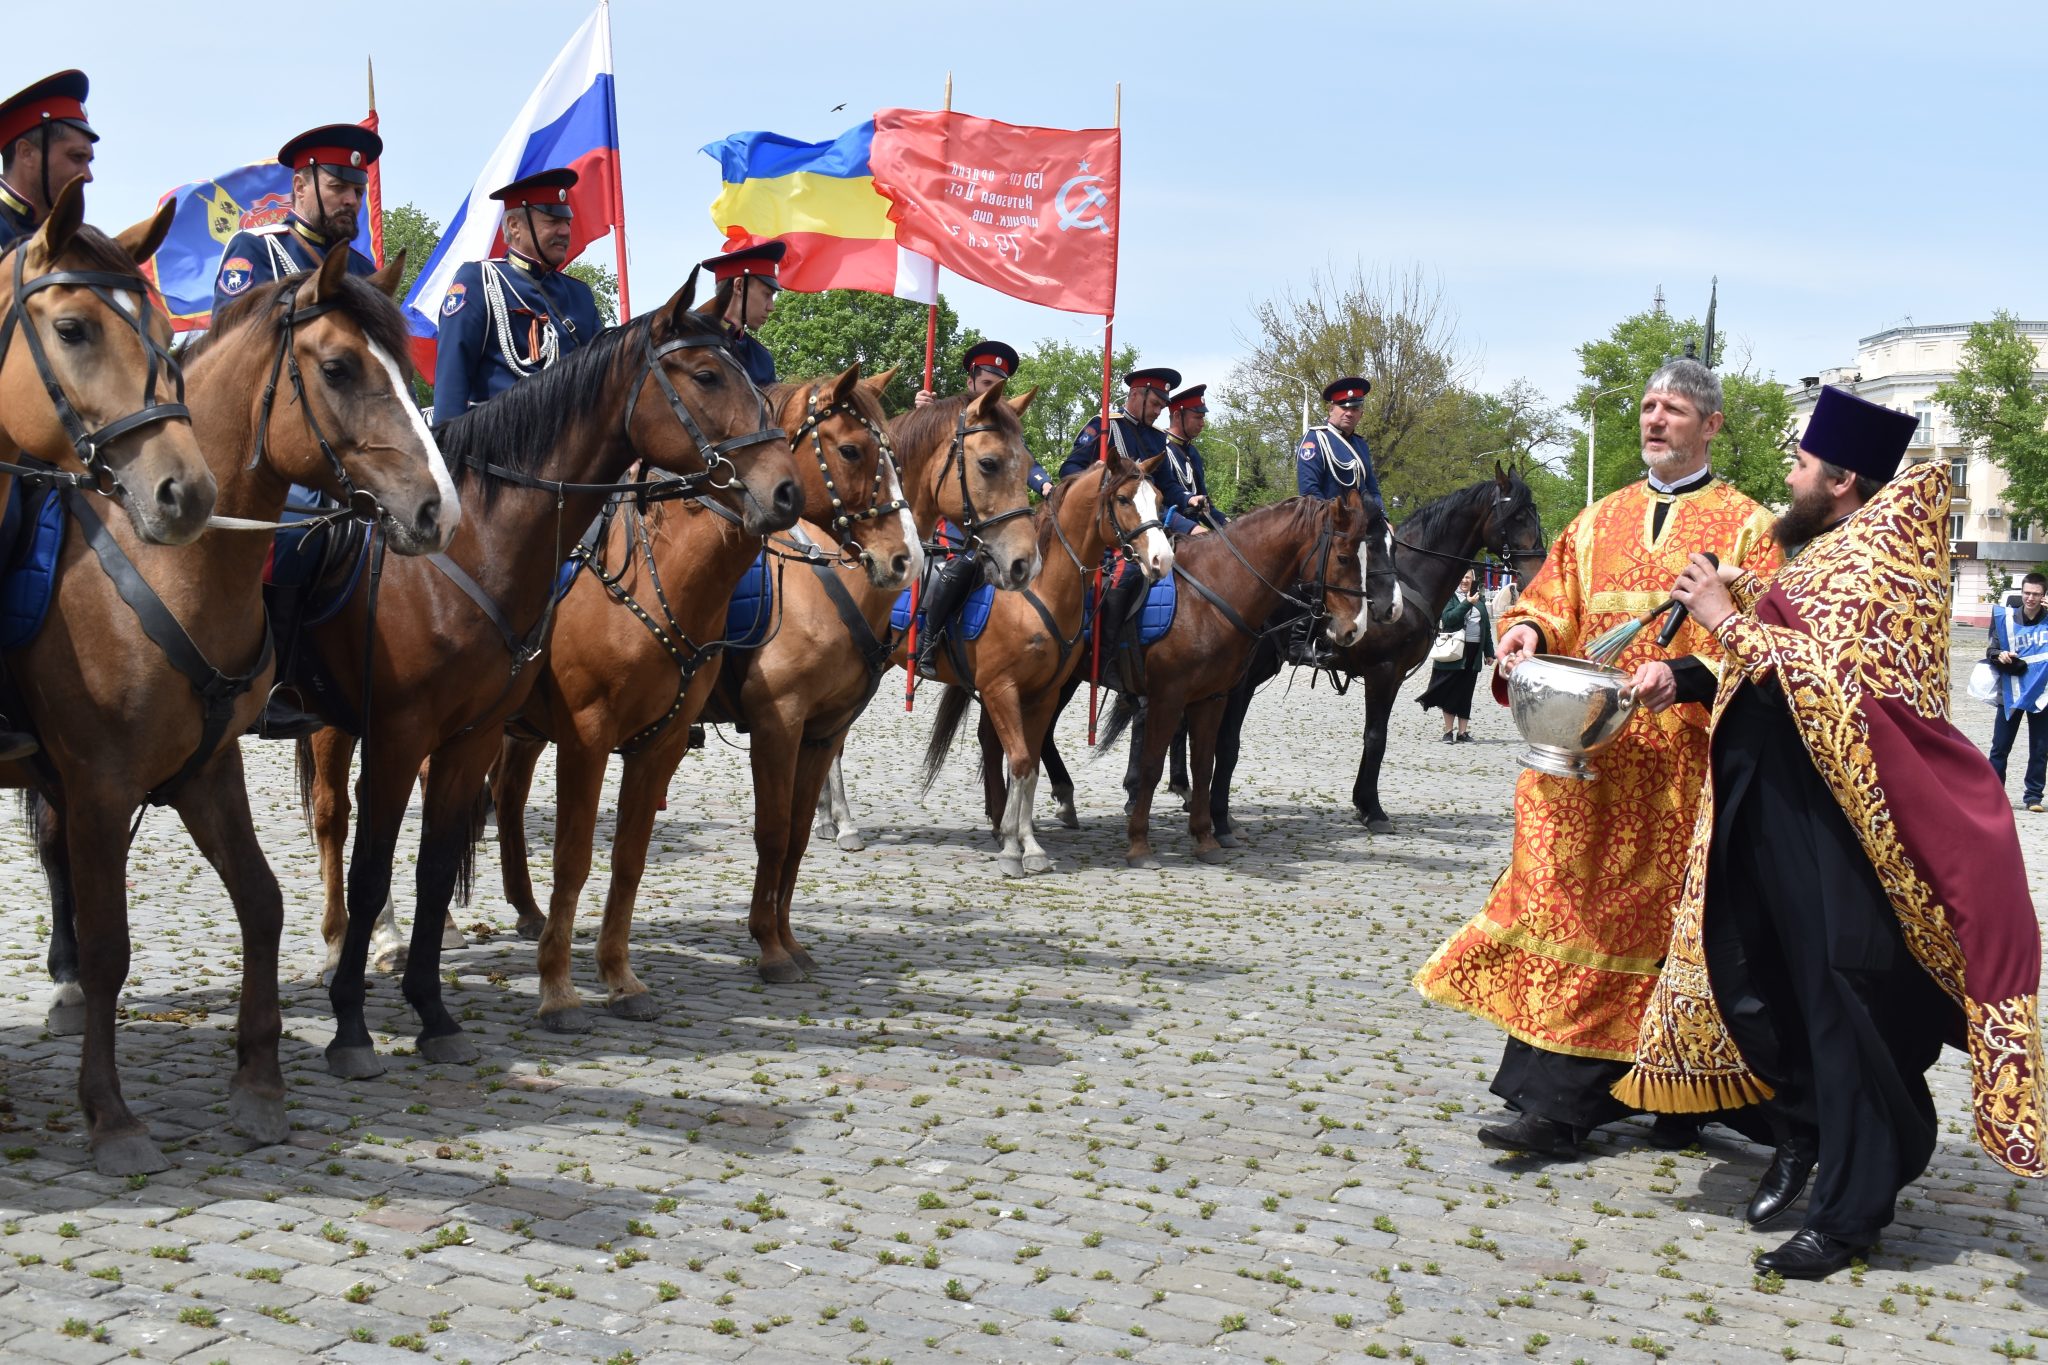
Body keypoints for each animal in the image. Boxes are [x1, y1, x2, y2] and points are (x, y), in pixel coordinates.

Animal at [14, 237, 448, 1178]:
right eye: (339, 366)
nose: (440, 509)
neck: (171, 568)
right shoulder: (100, 783)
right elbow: (110, 944)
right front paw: (111, 1115)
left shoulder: (208, 769)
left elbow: (263, 901)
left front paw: (259, 1082)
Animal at [296, 280, 798, 1080]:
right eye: (707, 375)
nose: (784, 493)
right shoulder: (572, 735)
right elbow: (566, 855)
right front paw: (557, 991)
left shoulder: (646, 741)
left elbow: (622, 859)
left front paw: (619, 978)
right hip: (336, 727)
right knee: (332, 820)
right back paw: (352, 942)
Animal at [487, 362, 913, 1023]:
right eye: (851, 449)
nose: (901, 558)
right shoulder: (772, 724)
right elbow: (769, 832)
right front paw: (770, 949)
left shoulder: (817, 734)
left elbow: (789, 837)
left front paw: (788, 941)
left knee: (503, 797)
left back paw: (524, 913)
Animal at [909, 456, 1171, 875]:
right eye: (1124, 500)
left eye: (1159, 499)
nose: (1163, 559)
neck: (1039, 591)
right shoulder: (1001, 688)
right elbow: (1018, 761)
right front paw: (1013, 849)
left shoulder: (1042, 694)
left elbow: (1029, 766)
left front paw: (1026, 845)